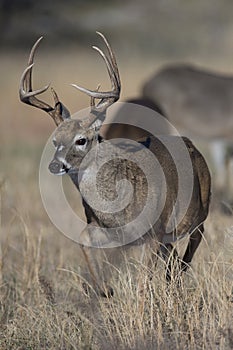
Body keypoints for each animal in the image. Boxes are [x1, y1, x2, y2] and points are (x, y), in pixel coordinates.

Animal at [20, 32, 211, 296]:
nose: (55, 166)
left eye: (81, 140)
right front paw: (105, 289)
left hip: (199, 214)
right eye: (55, 140)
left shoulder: (154, 230)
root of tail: (191, 145)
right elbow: (84, 239)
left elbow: (142, 282)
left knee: (189, 251)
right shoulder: (108, 230)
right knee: (172, 262)